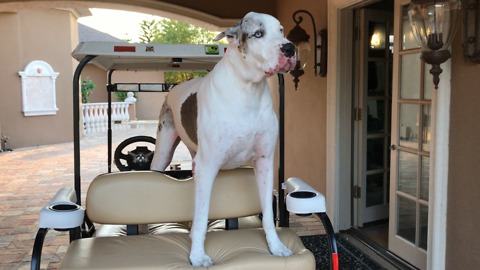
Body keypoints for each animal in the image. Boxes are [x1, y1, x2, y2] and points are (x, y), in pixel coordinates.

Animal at [151, 12, 296, 266]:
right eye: (258, 34)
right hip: (164, 151)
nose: (289, 48)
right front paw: (198, 256)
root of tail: (175, 86)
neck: (248, 90)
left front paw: (276, 246)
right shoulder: (208, 166)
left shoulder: (264, 162)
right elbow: (202, 216)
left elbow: (268, 213)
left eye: (281, 30)